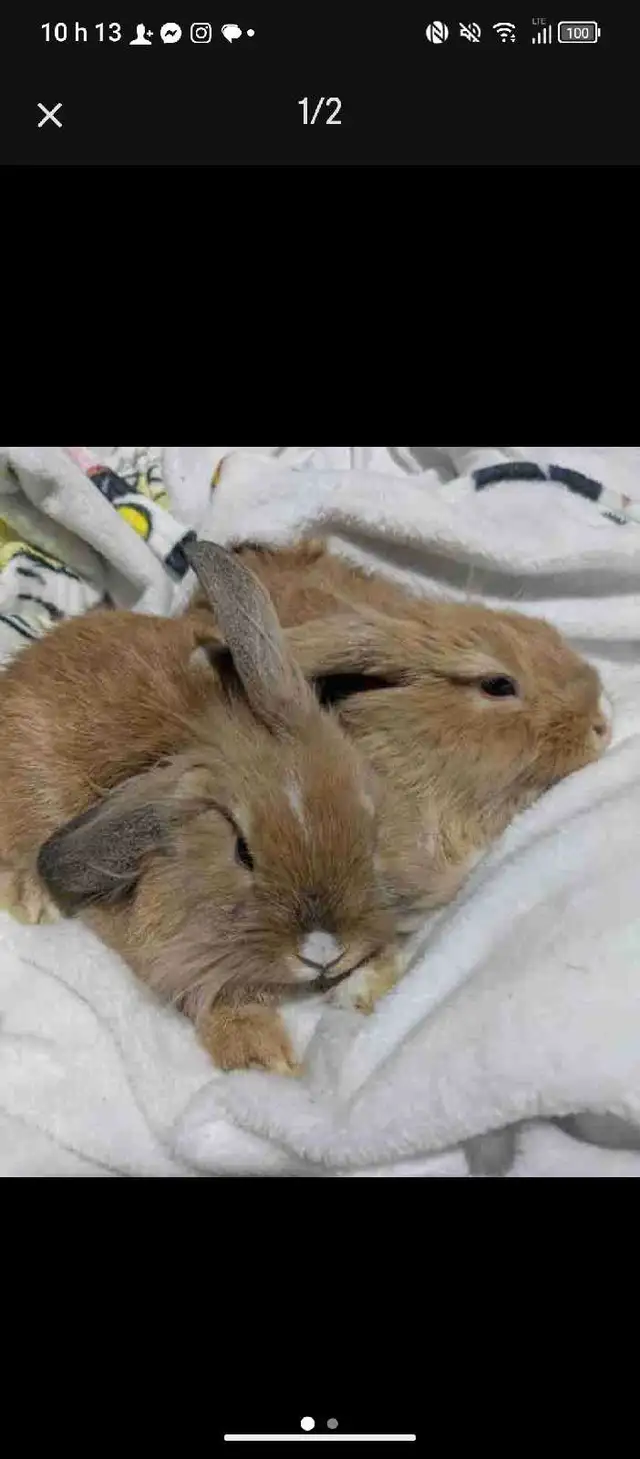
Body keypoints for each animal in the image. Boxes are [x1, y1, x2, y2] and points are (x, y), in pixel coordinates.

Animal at [0, 542, 401, 1073]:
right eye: (242, 853)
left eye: (366, 817)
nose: (324, 948)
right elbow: (218, 996)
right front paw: (266, 1059)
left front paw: (374, 979)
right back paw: (31, 898)